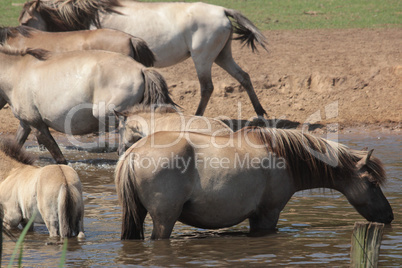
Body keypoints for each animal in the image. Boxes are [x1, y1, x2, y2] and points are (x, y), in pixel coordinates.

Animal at [114, 126, 394, 240]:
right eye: (372, 183)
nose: (390, 216)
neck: (283, 157)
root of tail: (133, 152)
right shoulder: (268, 214)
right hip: (165, 220)